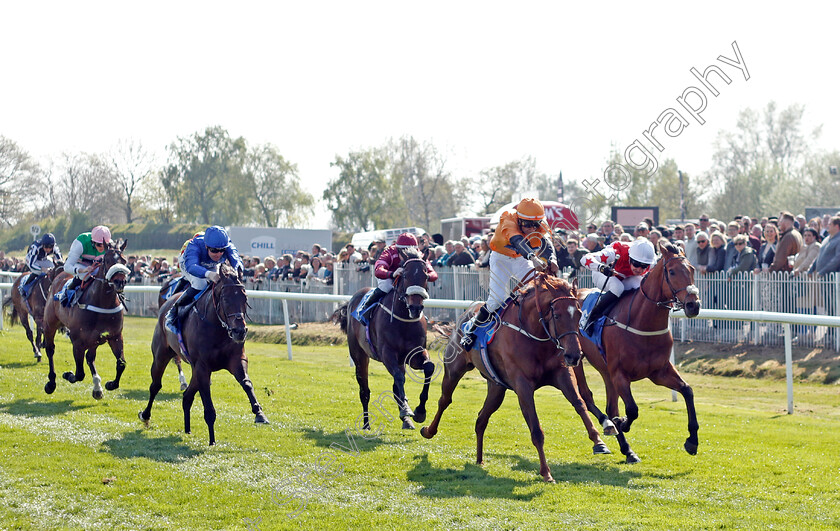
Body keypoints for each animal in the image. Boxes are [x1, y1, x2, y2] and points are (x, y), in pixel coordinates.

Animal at [42, 243, 130, 402]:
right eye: (106, 260)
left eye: (124, 261)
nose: (120, 281)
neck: (103, 303)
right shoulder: (78, 341)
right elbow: (79, 374)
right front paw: (67, 374)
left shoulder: (115, 336)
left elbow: (121, 364)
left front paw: (110, 384)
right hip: (50, 325)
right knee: (50, 349)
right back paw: (51, 383)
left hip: (94, 340)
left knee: (90, 357)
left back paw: (97, 388)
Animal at [139, 264, 268, 444]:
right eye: (225, 299)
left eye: (245, 298)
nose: (239, 331)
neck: (217, 327)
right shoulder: (202, 366)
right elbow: (207, 402)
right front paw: (212, 440)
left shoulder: (236, 359)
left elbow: (246, 383)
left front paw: (259, 413)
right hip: (161, 356)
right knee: (155, 385)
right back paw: (145, 415)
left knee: (187, 396)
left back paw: (187, 429)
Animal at [330, 249, 434, 432]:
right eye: (405, 275)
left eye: (426, 275)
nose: (415, 307)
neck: (404, 320)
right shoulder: (387, 354)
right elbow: (399, 378)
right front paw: (407, 410)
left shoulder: (414, 354)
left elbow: (428, 367)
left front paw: (420, 412)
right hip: (359, 355)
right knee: (364, 390)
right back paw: (366, 424)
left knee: (396, 385)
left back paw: (407, 421)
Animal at [420, 272, 612, 484]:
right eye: (556, 315)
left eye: (578, 313)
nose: (574, 355)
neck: (535, 335)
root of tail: (464, 315)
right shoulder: (523, 386)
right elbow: (536, 429)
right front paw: (546, 472)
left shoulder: (562, 375)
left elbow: (579, 404)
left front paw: (599, 441)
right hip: (454, 369)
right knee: (445, 400)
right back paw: (428, 430)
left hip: (497, 388)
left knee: (481, 419)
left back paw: (479, 459)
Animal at [576, 243, 704, 464]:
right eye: (672, 271)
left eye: (692, 270)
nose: (693, 305)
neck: (641, 321)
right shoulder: (620, 374)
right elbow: (632, 410)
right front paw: (621, 422)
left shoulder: (659, 372)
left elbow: (687, 390)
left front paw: (692, 441)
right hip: (573, 359)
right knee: (586, 396)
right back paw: (608, 426)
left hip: (605, 371)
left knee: (609, 406)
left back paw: (627, 449)